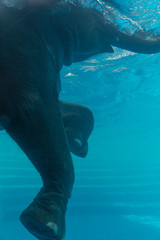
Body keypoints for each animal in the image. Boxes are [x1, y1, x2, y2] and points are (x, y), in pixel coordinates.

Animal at [0, 0, 160, 240]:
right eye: (99, 22)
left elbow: (56, 101)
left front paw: (76, 143)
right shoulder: (23, 55)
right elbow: (35, 109)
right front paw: (41, 227)